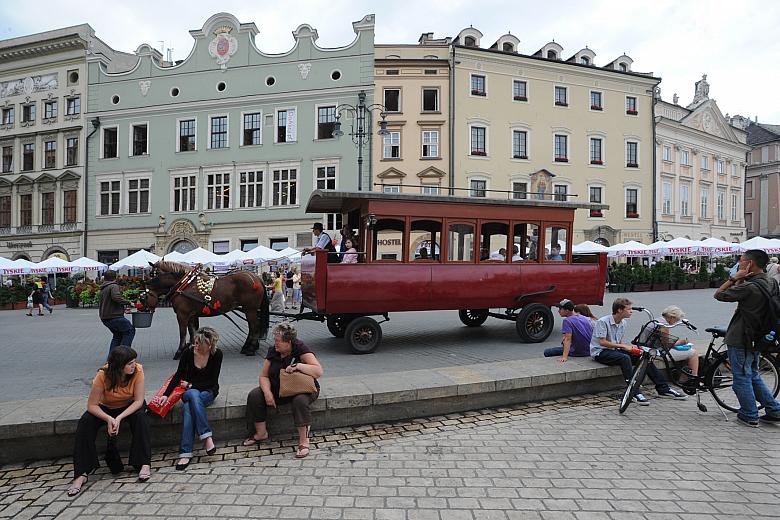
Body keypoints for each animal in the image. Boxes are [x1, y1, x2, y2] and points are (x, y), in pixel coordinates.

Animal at [144, 260, 272, 358]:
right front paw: (192, 348)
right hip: (250, 310)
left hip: (250, 309)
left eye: (152, 274)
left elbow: (183, 333)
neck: (184, 284)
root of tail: (257, 278)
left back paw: (250, 349)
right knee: (253, 326)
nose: (145, 303)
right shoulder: (191, 315)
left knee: (255, 326)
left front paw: (179, 351)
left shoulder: (182, 315)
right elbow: (193, 332)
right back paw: (248, 346)